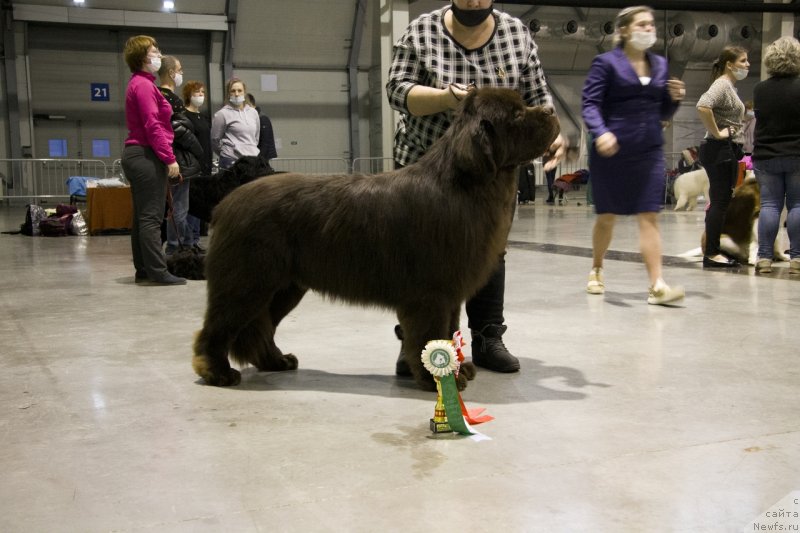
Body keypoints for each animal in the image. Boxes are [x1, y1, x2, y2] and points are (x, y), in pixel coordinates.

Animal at [191, 87, 560, 390]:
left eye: (523, 104)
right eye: (516, 114)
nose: (550, 111)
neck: (464, 187)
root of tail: (227, 202)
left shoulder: (451, 293)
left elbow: (447, 330)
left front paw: (457, 370)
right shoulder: (431, 293)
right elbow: (429, 334)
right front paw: (436, 379)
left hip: (284, 287)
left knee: (260, 327)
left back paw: (276, 361)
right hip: (246, 280)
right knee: (220, 326)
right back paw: (217, 371)